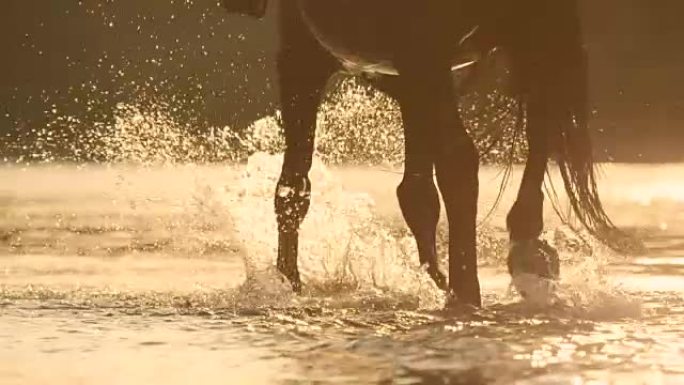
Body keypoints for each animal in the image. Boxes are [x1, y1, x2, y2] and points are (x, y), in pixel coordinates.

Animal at [222, 0, 640, 306]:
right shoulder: (401, 73)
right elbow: (413, 193)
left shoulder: (314, 57)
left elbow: (295, 186)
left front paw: (288, 281)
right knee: (531, 132)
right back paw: (511, 261)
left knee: (468, 157)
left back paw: (471, 288)